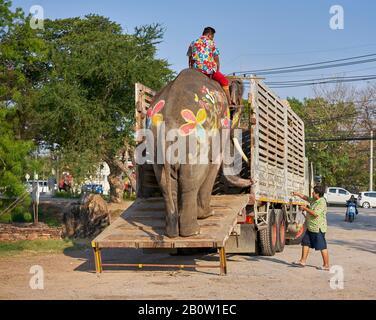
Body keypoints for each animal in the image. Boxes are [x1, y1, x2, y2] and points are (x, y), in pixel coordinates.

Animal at [147, 69, 250, 239]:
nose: (250, 182)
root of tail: (168, 120)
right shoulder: (220, 124)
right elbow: (215, 162)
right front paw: (207, 213)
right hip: (195, 142)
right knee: (191, 178)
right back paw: (193, 231)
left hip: (155, 146)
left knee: (166, 182)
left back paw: (172, 232)